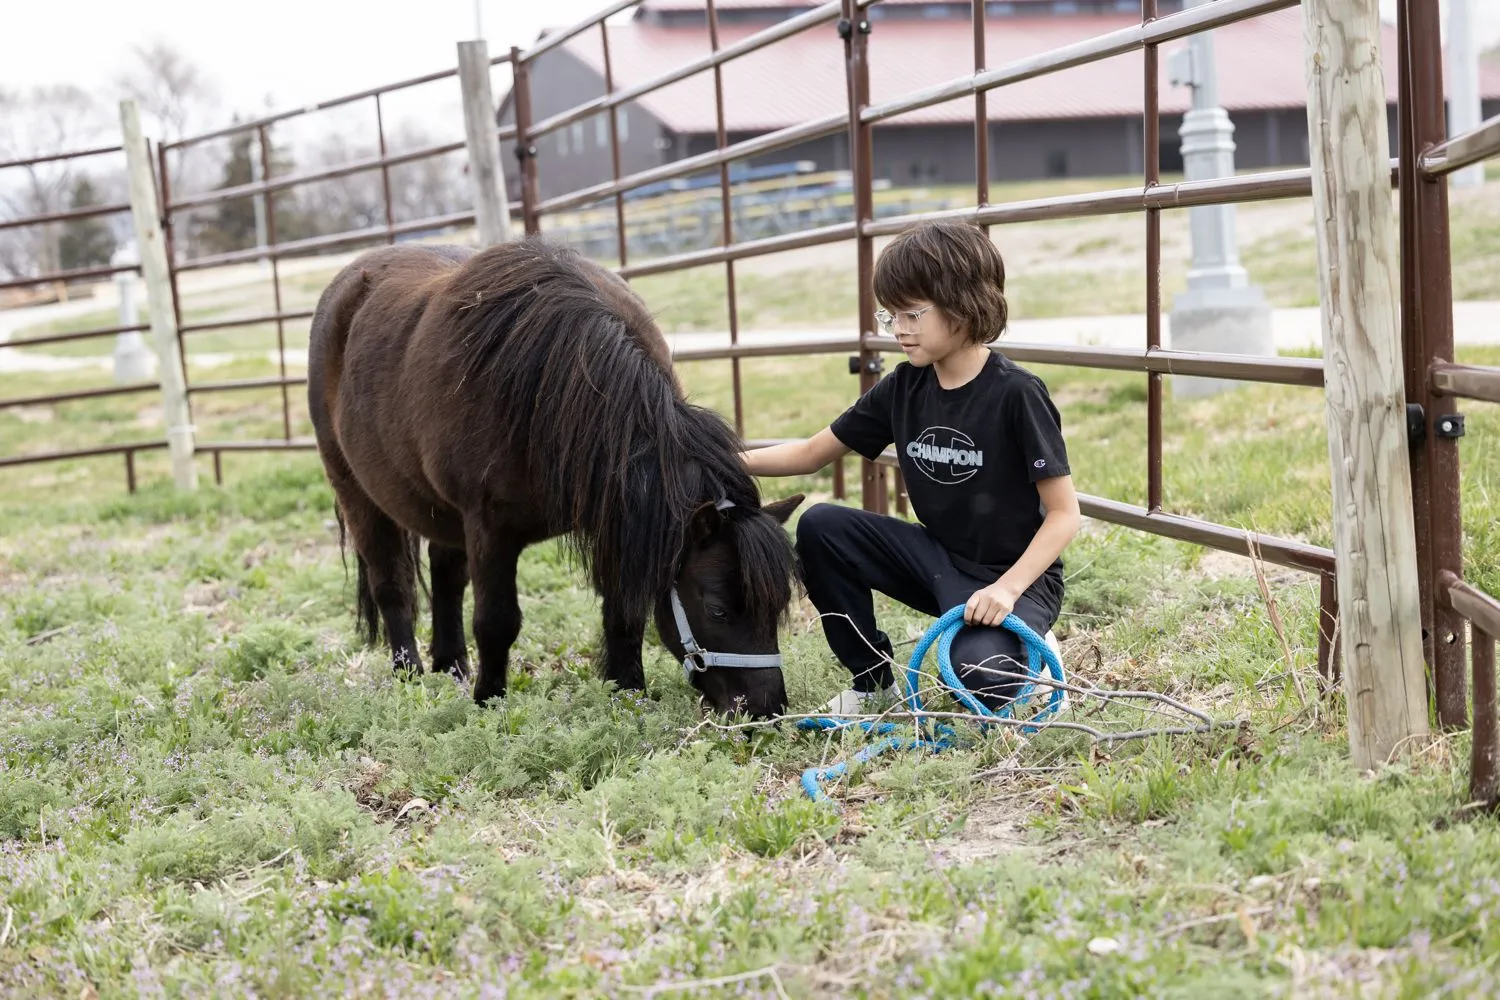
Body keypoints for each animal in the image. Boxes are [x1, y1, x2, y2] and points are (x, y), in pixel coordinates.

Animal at [305, 235, 803, 719]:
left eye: (779, 605)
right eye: (717, 611)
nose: (767, 710)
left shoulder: (615, 516)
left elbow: (624, 614)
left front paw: (629, 694)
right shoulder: (489, 528)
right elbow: (496, 621)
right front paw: (489, 704)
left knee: (445, 576)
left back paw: (452, 668)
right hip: (357, 494)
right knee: (393, 588)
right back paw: (408, 676)